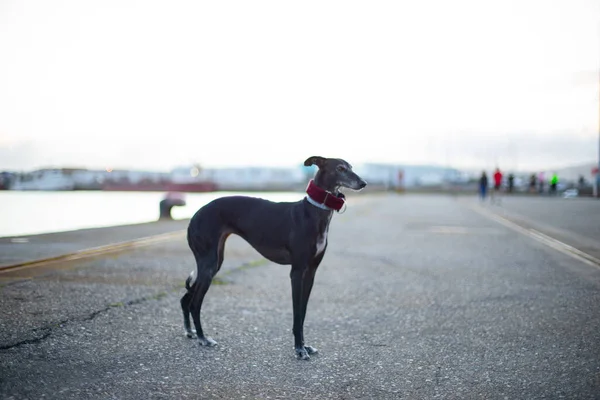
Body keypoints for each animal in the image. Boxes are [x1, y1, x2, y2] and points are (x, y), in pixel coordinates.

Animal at [179, 155, 366, 360]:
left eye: (350, 167)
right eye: (340, 168)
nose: (363, 183)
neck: (314, 213)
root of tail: (194, 215)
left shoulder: (311, 272)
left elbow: (303, 312)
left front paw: (305, 345)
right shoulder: (297, 271)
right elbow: (297, 314)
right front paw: (299, 348)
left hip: (214, 261)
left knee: (186, 299)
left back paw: (190, 332)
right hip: (209, 263)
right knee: (195, 303)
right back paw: (203, 337)